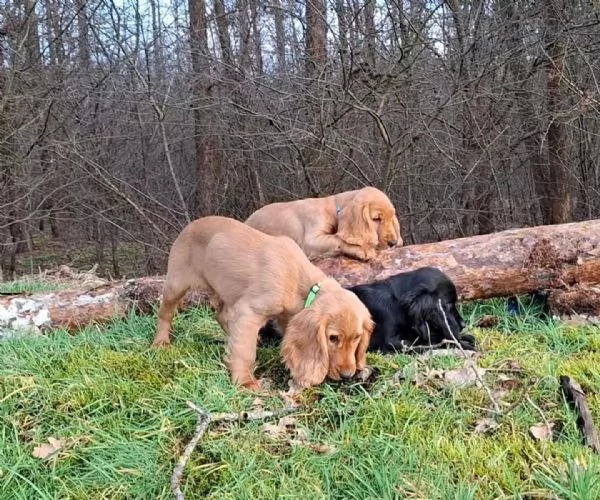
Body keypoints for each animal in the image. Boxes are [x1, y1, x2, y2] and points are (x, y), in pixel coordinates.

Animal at [152, 217, 372, 392]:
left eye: (357, 338)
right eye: (332, 338)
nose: (347, 375)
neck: (301, 281)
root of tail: (191, 225)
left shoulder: (286, 318)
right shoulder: (251, 311)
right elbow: (245, 352)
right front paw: (245, 382)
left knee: (221, 316)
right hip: (176, 283)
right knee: (166, 313)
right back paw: (161, 342)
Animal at [244, 186, 404, 260]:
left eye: (391, 218)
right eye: (376, 219)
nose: (392, 243)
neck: (334, 207)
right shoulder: (310, 240)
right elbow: (336, 238)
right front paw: (363, 249)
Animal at [260, 268, 476, 354]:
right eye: (448, 305)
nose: (463, 324)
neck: (397, 304)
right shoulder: (392, 343)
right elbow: (427, 344)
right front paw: (462, 343)